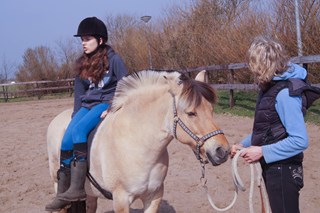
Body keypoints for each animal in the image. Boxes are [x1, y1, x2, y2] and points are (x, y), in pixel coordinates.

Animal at [46, 70, 229, 213]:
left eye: (211, 110)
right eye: (191, 113)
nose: (223, 151)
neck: (138, 145)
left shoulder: (154, 196)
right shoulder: (121, 200)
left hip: (89, 192)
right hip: (57, 183)